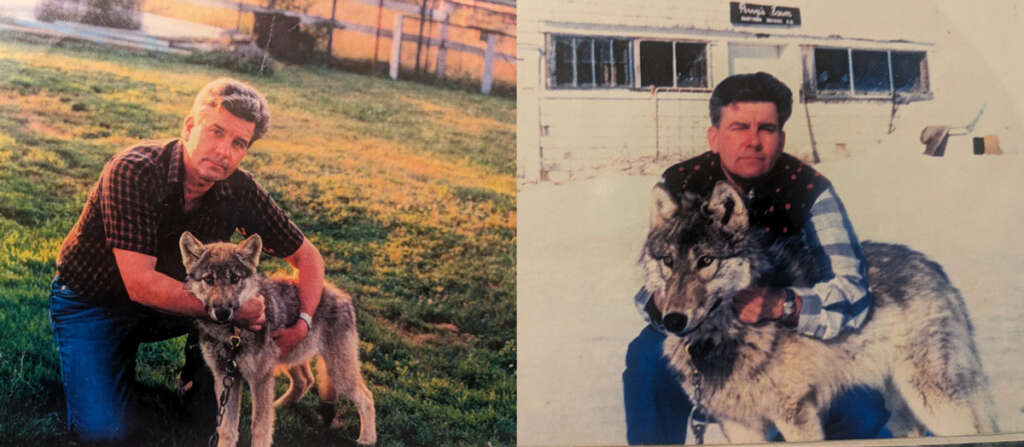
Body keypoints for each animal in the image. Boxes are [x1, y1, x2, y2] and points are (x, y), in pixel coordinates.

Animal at [182, 232, 378, 443]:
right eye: (208, 279)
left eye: (234, 278)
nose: (222, 312)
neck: (232, 335)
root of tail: (343, 295)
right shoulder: (224, 377)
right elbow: (226, 429)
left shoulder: (259, 379)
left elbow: (259, 428)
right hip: (287, 361)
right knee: (305, 380)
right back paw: (279, 406)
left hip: (338, 373)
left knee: (367, 397)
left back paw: (367, 439)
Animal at [643, 181, 995, 441]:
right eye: (668, 261)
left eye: (706, 261)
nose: (673, 320)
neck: (724, 336)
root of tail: (934, 268)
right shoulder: (738, 424)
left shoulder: (796, 414)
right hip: (902, 407)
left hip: (934, 400)